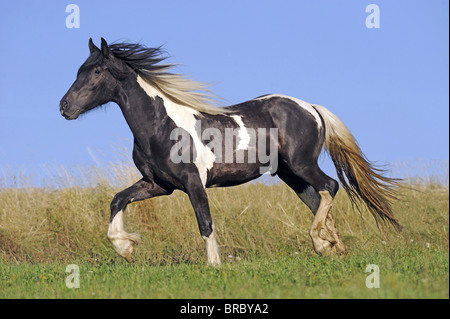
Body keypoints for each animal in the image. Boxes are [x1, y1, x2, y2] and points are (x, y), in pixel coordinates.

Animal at [59, 38, 400, 264]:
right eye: (79, 70)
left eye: (97, 72)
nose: (64, 107)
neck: (161, 125)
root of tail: (311, 108)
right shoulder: (158, 184)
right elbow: (118, 200)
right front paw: (126, 246)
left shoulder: (194, 183)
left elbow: (205, 223)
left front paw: (213, 265)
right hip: (291, 175)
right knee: (318, 199)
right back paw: (334, 248)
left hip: (302, 164)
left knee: (330, 186)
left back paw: (321, 242)